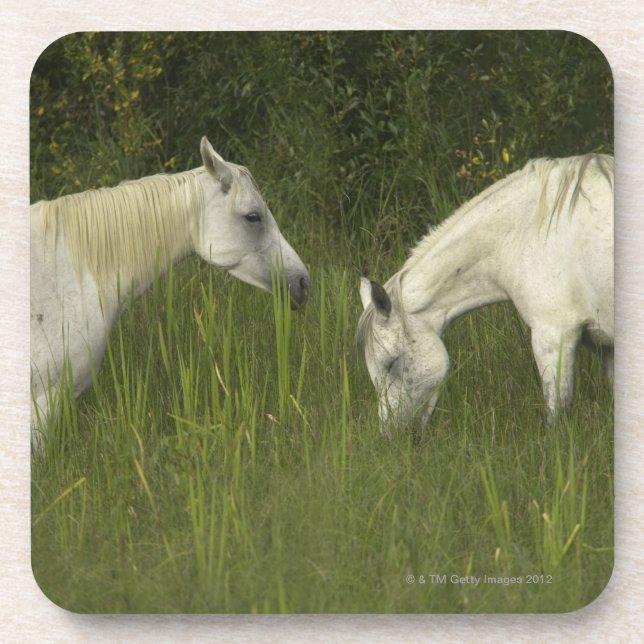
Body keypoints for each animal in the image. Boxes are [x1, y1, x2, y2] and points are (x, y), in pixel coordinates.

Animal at [356, 154, 613, 433]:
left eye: (391, 363)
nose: (391, 435)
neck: (528, 232)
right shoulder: (605, 347)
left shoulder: (554, 336)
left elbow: (556, 415)